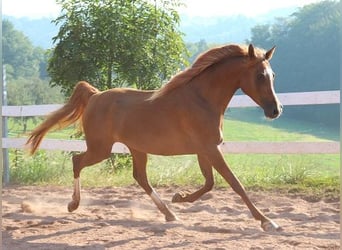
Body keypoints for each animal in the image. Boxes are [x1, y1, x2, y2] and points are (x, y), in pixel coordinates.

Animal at [27, 44, 284, 230]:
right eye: (260, 76)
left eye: (273, 75)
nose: (276, 110)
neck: (202, 99)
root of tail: (95, 95)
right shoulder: (210, 149)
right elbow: (235, 183)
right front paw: (267, 222)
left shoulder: (205, 149)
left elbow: (210, 183)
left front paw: (179, 197)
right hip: (101, 149)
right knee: (77, 161)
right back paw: (73, 204)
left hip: (136, 149)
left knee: (140, 177)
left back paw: (171, 215)